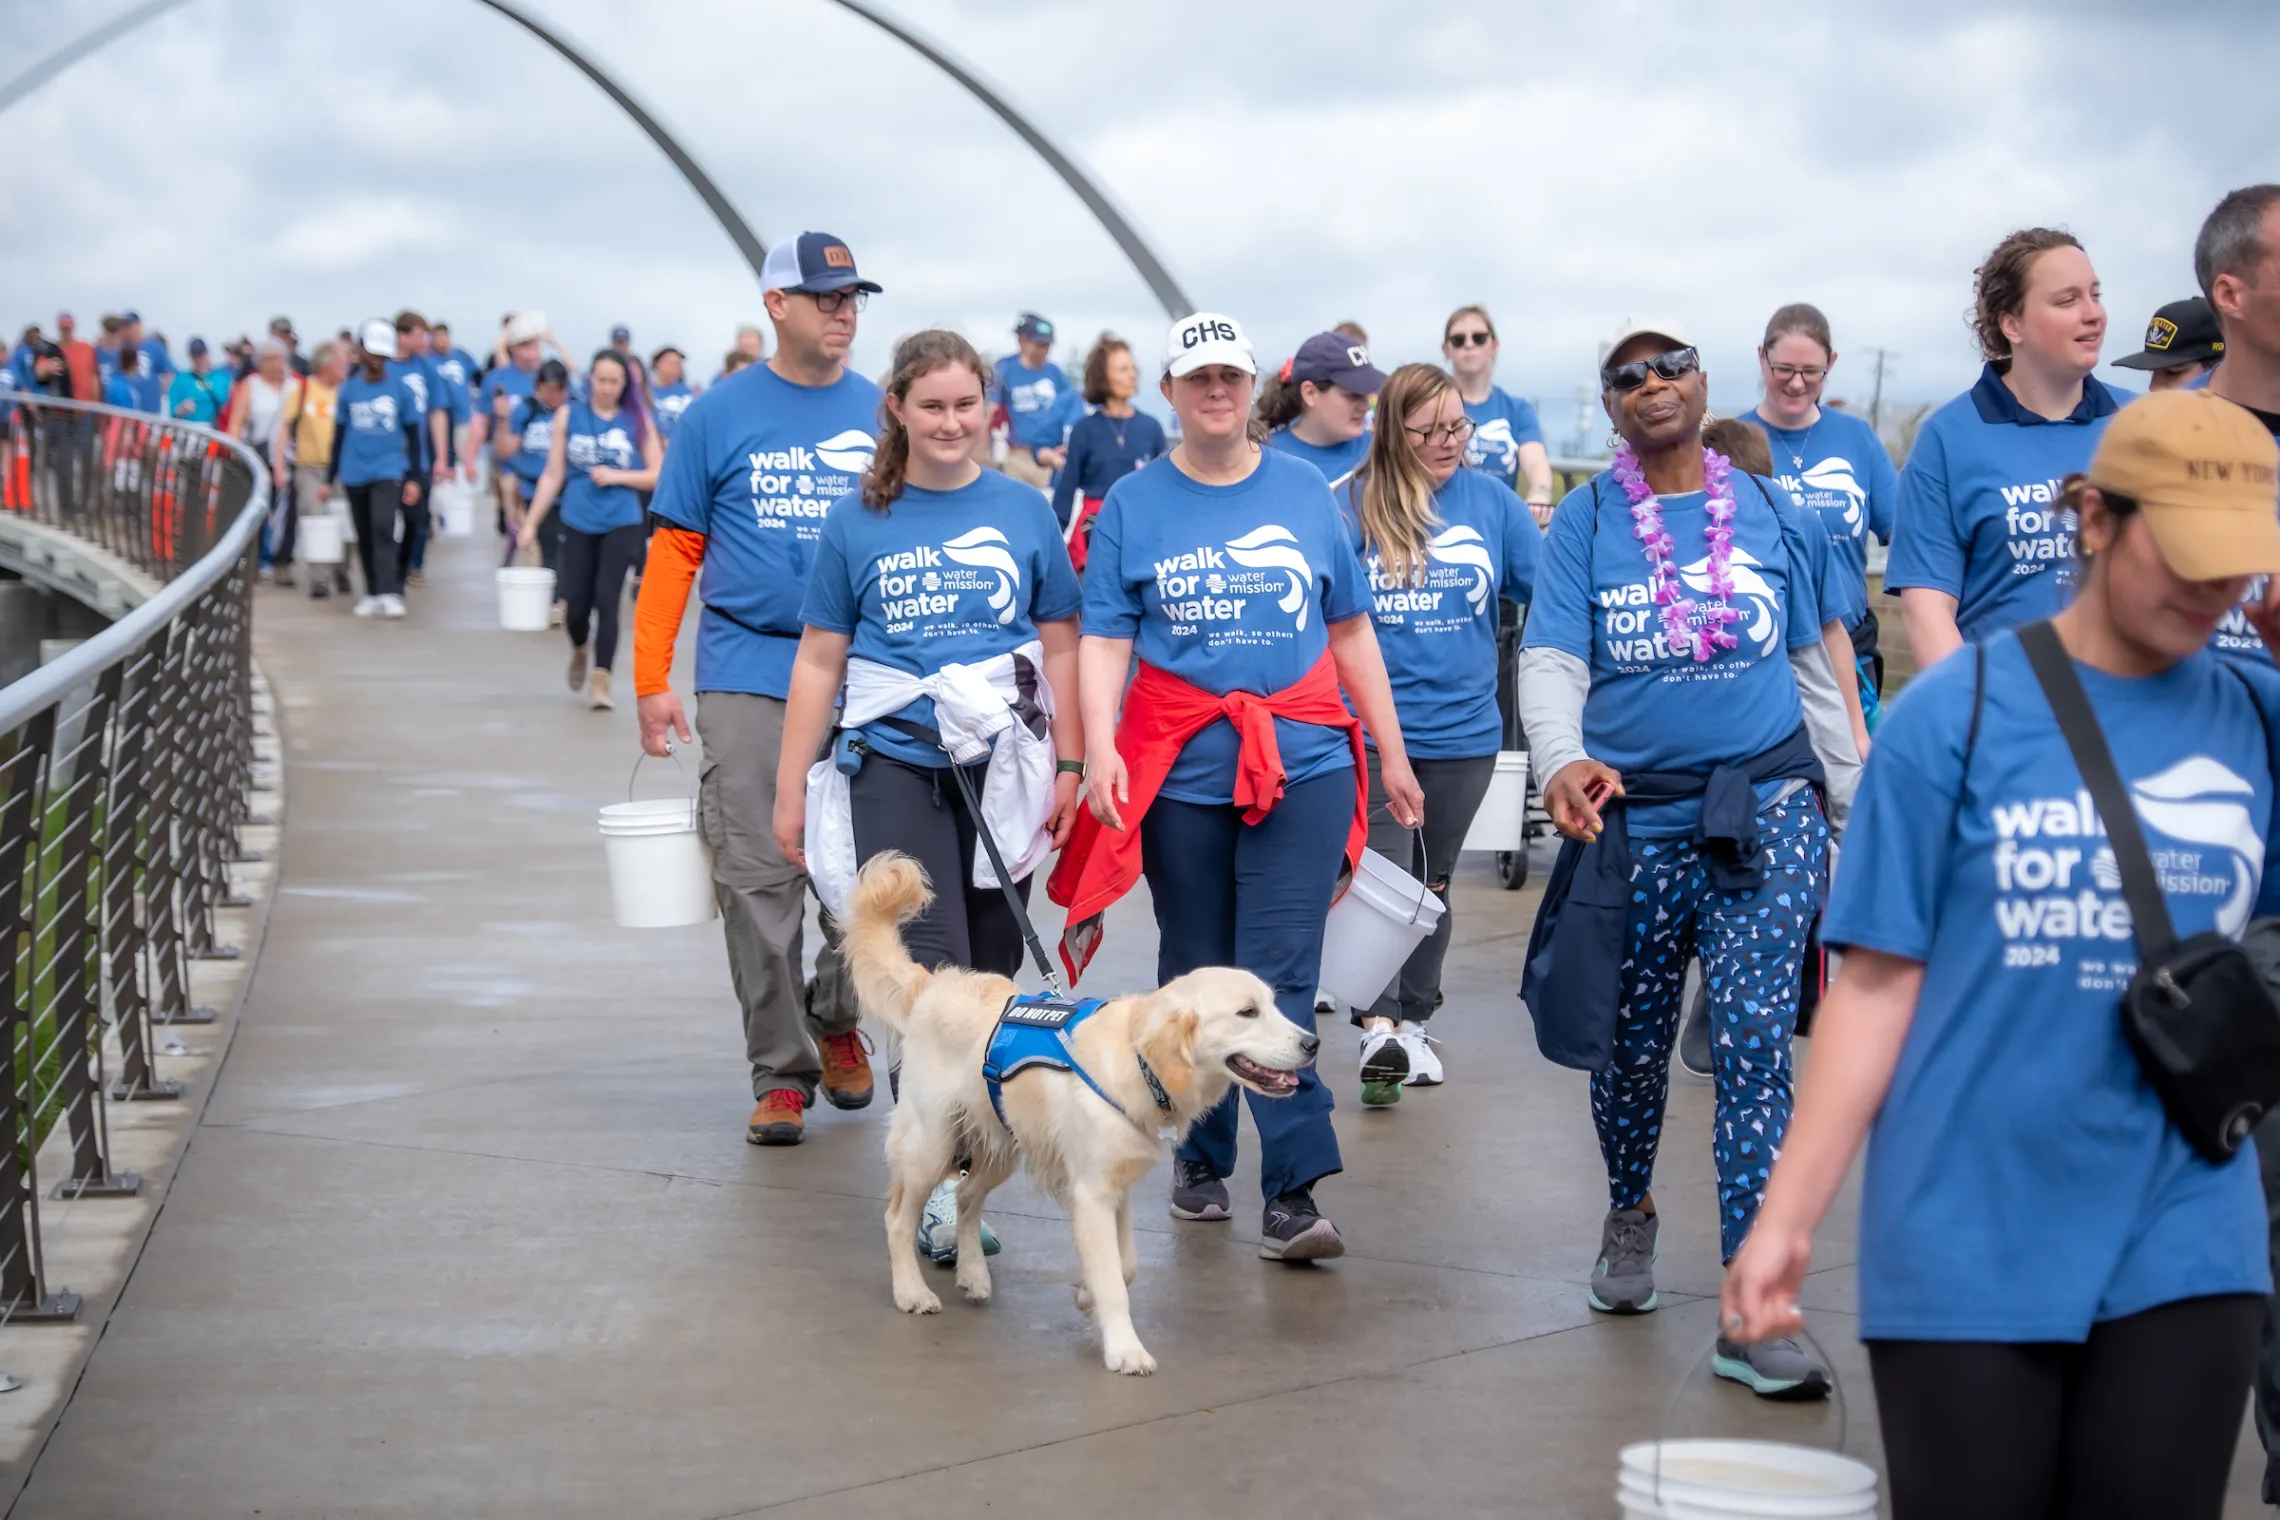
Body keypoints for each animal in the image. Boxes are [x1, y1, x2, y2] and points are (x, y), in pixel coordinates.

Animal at [843, 856, 1322, 1376]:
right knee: (897, 1218)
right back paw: (911, 1292)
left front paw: (1086, 1296)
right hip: (930, 1144)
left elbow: (1125, 1265)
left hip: (1003, 1144)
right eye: (1247, 1012)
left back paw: (973, 1275)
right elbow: (1114, 1277)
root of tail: (933, 983)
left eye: (1273, 1004)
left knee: (968, 1197)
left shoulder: (1119, 1186)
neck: (1138, 1060)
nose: (1313, 1043)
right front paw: (1125, 1348)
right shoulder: (1092, 1192)